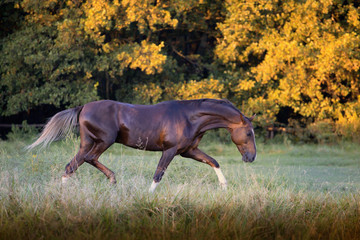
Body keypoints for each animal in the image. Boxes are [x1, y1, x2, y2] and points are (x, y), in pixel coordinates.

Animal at [27, 98, 256, 192]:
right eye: (248, 132)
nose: (251, 157)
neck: (190, 117)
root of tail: (83, 107)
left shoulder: (188, 151)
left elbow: (213, 161)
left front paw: (224, 186)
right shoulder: (170, 150)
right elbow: (158, 174)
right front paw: (148, 196)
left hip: (89, 142)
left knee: (76, 164)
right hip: (103, 141)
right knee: (82, 161)